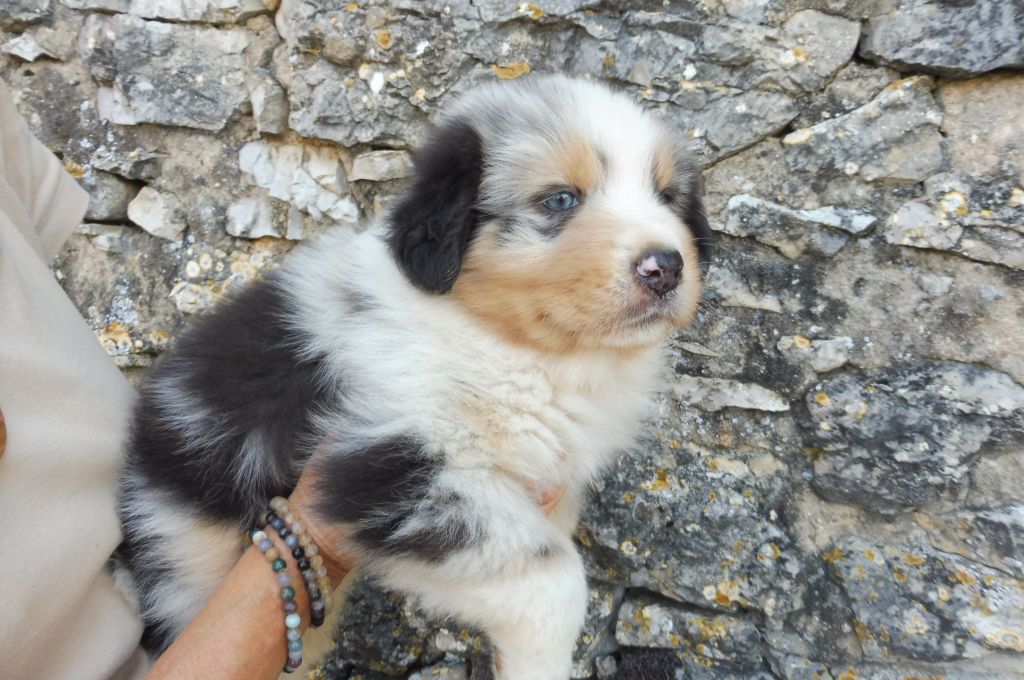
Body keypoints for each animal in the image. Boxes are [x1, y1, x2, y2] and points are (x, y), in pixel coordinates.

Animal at [114, 75, 712, 680]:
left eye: (667, 197)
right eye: (560, 199)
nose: (665, 266)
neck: (528, 354)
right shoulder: (390, 462)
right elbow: (552, 576)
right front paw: (540, 661)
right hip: (185, 556)